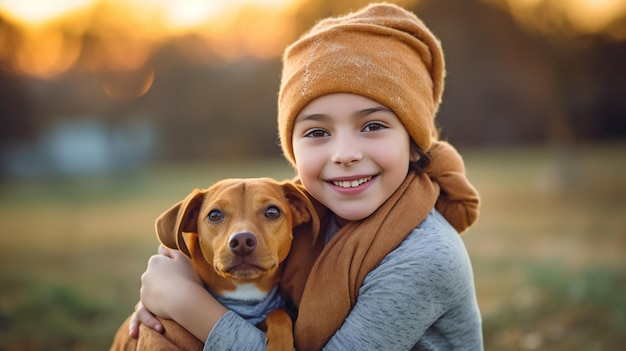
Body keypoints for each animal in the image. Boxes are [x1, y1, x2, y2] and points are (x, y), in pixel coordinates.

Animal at [108, 179, 320, 351]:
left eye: (272, 212)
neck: (244, 293)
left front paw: (280, 344)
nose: (242, 241)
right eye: (215, 215)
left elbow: (278, 314)